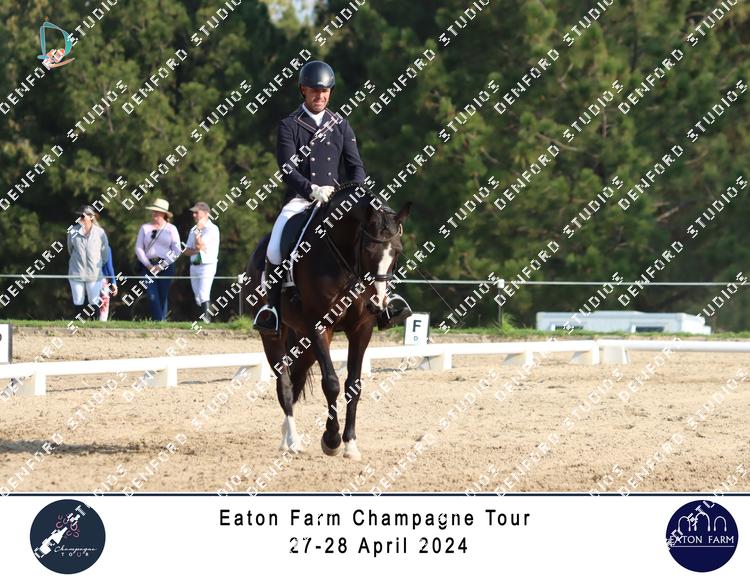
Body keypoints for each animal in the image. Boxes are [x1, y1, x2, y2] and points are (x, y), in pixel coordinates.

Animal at [243, 182, 411, 460]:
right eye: (368, 251)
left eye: (396, 253)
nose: (377, 304)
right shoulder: (318, 325)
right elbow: (331, 383)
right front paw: (331, 440)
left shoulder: (361, 328)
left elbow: (354, 384)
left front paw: (350, 444)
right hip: (274, 334)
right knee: (285, 384)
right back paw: (293, 441)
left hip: (305, 339)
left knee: (297, 377)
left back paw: (285, 439)